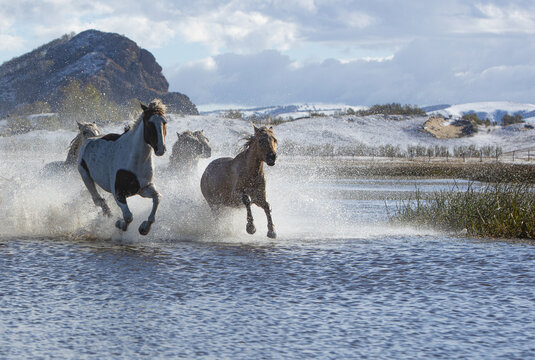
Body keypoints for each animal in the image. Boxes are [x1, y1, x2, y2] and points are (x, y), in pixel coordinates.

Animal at [77, 100, 168, 235]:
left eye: (164, 122)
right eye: (149, 123)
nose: (161, 149)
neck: (134, 161)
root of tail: (89, 139)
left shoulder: (144, 189)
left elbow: (157, 198)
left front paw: (144, 228)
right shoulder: (119, 194)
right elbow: (128, 216)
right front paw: (119, 224)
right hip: (86, 177)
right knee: (98, 200)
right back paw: (109, 216)